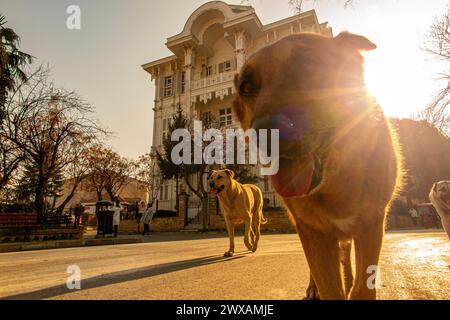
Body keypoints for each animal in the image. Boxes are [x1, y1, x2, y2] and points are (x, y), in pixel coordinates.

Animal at [232, 32, 400, 300]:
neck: (336, 181)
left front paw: (353, 285)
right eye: (247, 86)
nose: (266, 133)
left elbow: (363, 287)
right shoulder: (314, 234)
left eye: (308, 63)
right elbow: (329, 285)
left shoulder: (371, 225)